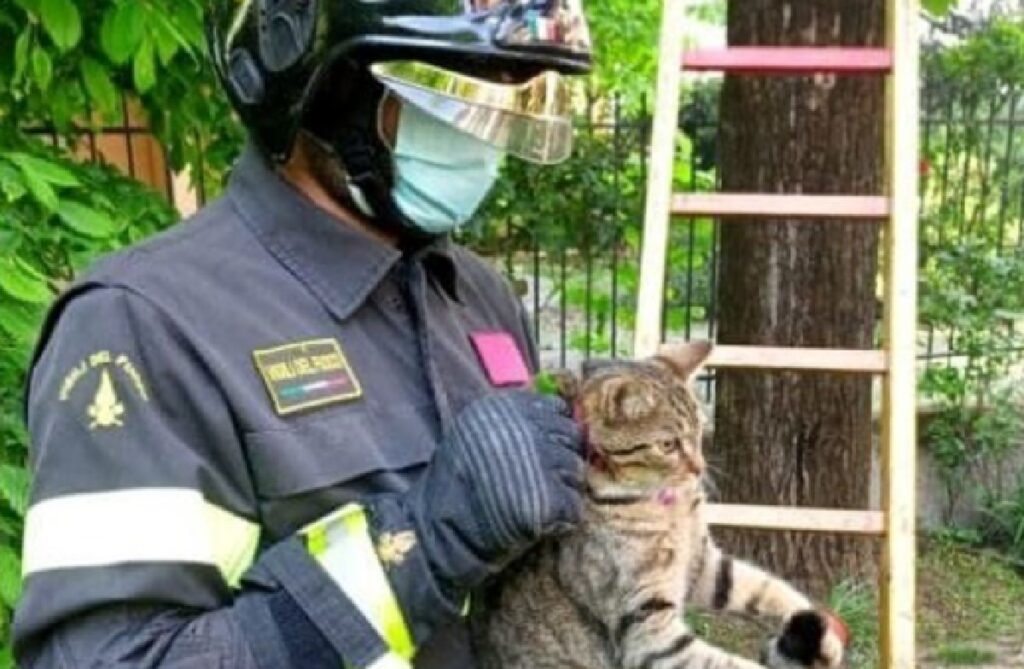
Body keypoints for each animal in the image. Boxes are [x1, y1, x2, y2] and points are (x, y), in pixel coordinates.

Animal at [471, 344, 847, 667]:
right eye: (668, 445)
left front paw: (824, 630)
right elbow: (729, 664)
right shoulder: (647, 627)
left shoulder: (703, 563)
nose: (699, 468)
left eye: (699, 431)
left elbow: (766, 587)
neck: (667, 505)